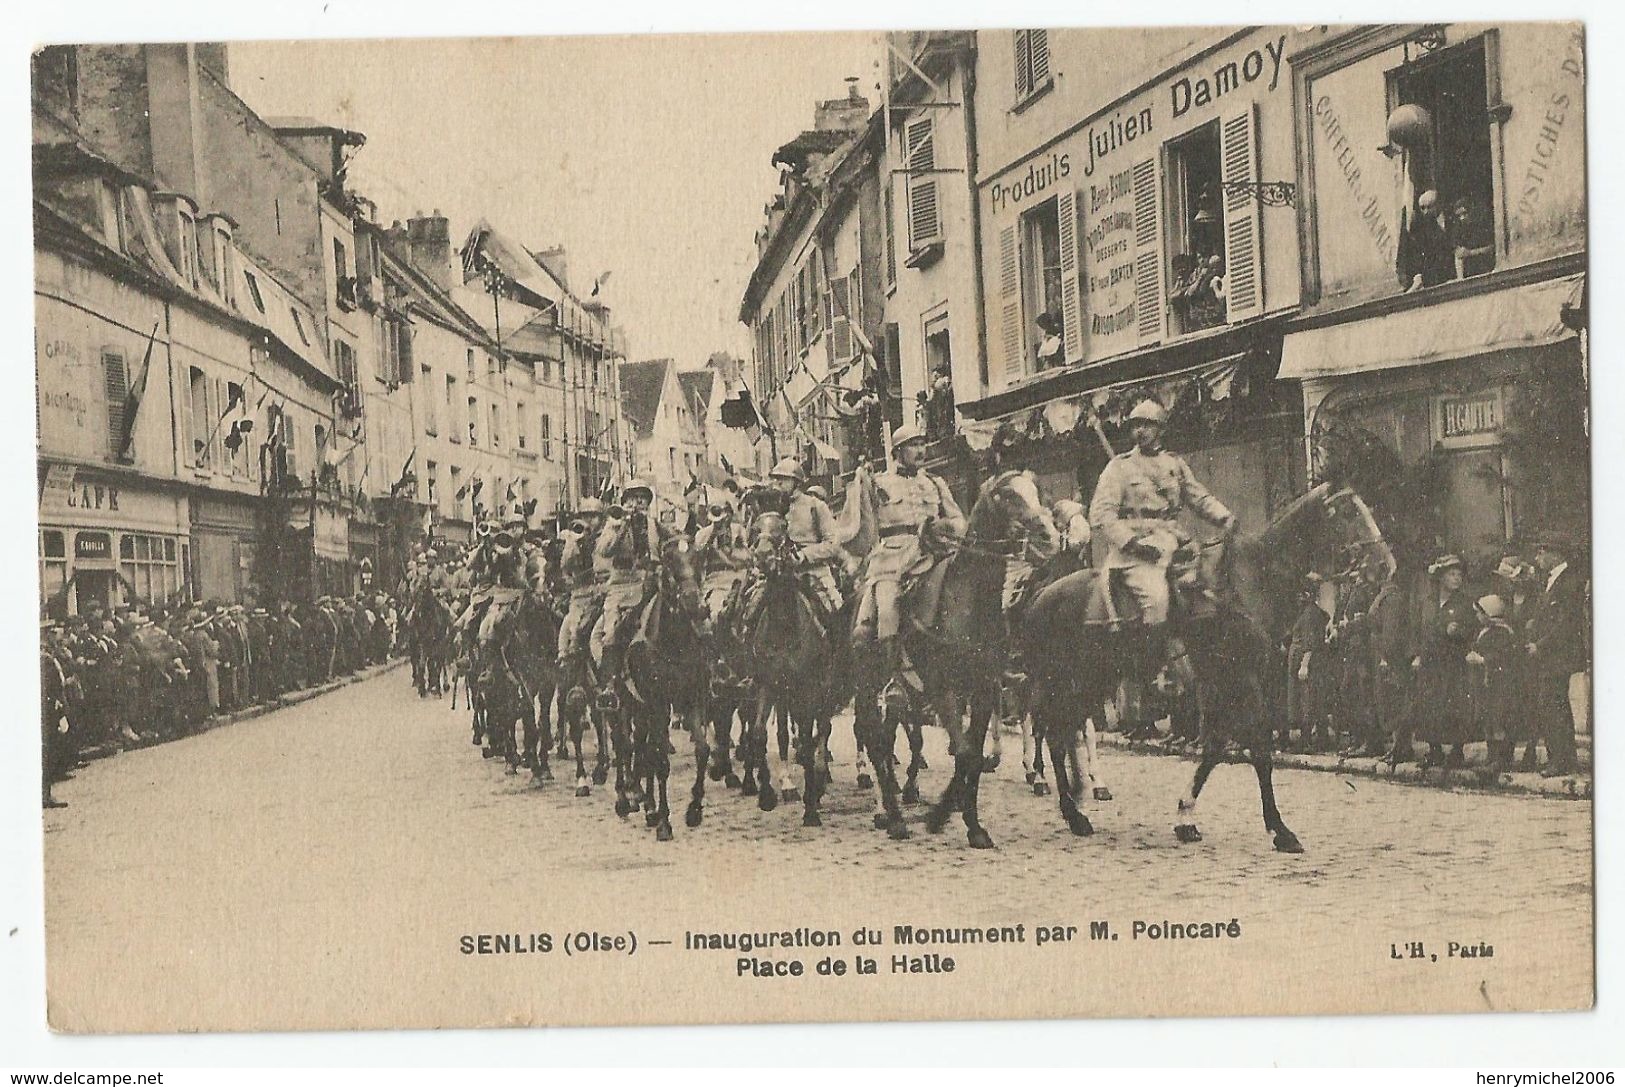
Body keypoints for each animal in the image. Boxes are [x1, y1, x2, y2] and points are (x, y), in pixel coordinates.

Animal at [851, 467, 1053, 844]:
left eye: (1036, 492)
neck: (967, 600)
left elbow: (971, 755)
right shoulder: (943, 691)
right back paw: (893, 817)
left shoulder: (983, 691)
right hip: (867, 686)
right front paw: (942, 816)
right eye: (1008, 496)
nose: (1048, 536)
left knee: (887, 739)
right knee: (874, 741)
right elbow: (962, 751)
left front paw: (964, 821)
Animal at [1020, 480, 1391, 844]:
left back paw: (1077, 801)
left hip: (1090, 682)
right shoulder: (1239, 678)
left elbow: (1215, 745)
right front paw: (1280, 829)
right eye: (1348, 512)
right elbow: (1257, 747)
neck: (1250, 581)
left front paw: (1186, 817)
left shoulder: (1227, 681)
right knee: (1052, 734)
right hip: (1066, 681)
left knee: (1062, 732)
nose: (1386, 564)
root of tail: (1040, 598)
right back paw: (1071, 808)